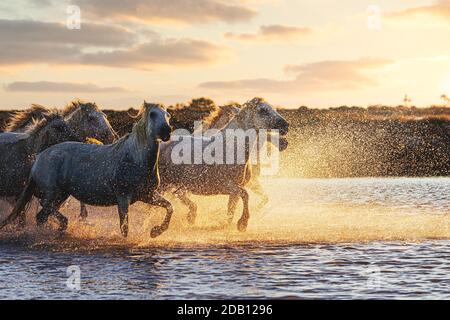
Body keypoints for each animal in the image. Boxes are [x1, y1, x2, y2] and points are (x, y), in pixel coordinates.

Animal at [0, 102, 173, 238]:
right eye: (152, 114)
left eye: (168, 115)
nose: (166, 131)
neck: (135, 159)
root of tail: (39, 157)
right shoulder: (123, 197)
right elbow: (124, 229)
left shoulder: (147, 195)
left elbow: (169, 207)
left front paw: (156, 231)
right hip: (51, 192)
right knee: (43, 210)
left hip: (62, 194)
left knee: (42, 216)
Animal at [158, 96, 288, 231]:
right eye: (263, 110)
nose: (286, 126)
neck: (230, 149)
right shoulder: (224, 185)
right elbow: (245, 194)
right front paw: (242, 223)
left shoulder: (236, 189)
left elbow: (231, 210)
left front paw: (225, 223)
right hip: (163, 184)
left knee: (177, 195)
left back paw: (189, 217)